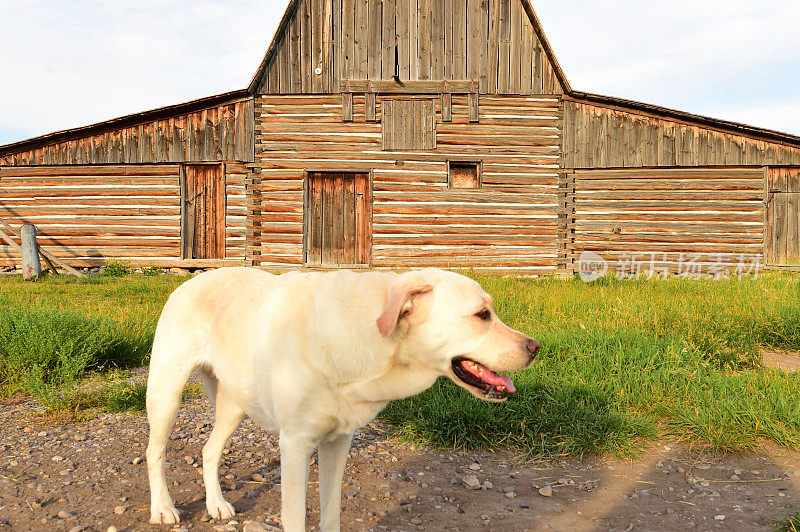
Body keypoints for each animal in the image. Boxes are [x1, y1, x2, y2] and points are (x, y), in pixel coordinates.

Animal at [147, 268, 540, 528]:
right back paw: (163, 509)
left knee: (209, 451)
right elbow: (295, 519)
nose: (535, 347)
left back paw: (216, 505)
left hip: (234, 405)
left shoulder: (337, 442)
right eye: (482, 315)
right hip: (166, 394)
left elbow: (331, 512)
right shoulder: (296, 445)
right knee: (155, 452)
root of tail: (190, 280)